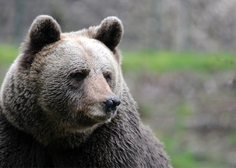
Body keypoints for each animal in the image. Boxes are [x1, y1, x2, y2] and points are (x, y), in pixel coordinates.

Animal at [0, 15, 171, 167]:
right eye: (79, 74)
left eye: (107, 75)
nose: (111, 102)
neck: (57, 136)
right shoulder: (18, 136)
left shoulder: (110, 144)